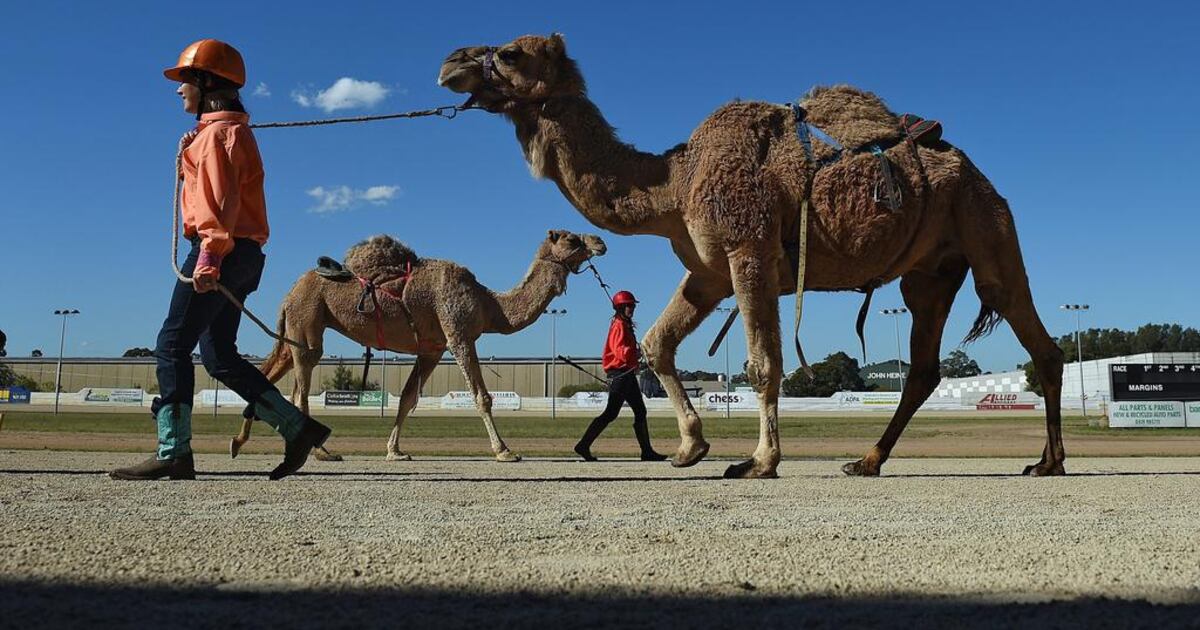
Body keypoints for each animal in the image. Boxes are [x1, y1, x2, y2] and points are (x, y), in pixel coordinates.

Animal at [230, 229, 606, 461]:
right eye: (572, 238)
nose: (601, 241)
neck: (489, 305)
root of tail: (288, 293)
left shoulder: (432, 348)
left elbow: (407, 398)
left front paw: (394, 451)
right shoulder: (458, 333)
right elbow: (481, 396)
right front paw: (505, 451)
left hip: (293, 330)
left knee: (269, 373)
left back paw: (239, 442)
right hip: (308, 323)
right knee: (301, 388)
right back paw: (321, 452)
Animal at [438, 34, 1065, 478]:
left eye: (511, 53)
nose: (449, 63)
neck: (676, 183)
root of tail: (978, 173)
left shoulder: (749, 249)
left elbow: (764, 363)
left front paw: (758, 462)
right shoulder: (707, 271)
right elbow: (656, 343)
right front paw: (690, 448)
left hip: (987, 227)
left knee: (1034, 336)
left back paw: (1049, 462)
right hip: (929, 273)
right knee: (925, 367)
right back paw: (867, 460)